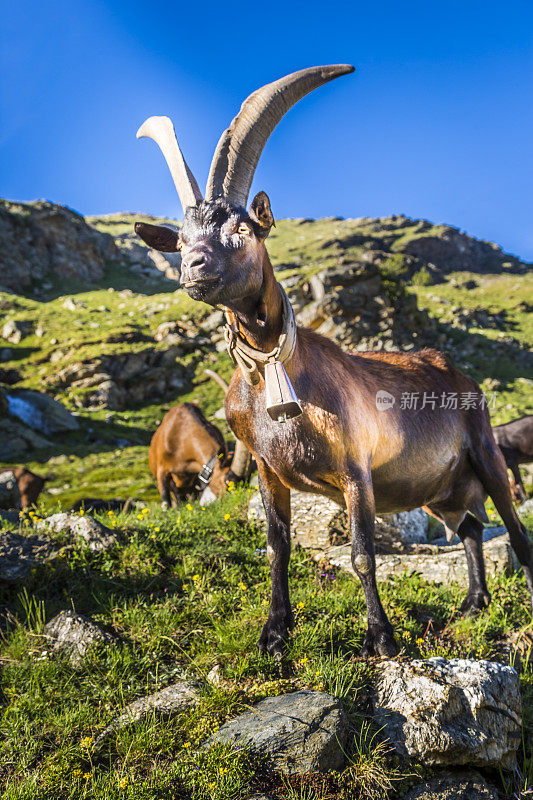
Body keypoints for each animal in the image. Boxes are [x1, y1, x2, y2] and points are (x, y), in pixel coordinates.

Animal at [134, 65, 532, 660]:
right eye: (180, 239)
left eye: (242, 229)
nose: (193, 268)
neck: (277, 378)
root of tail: (454, 371)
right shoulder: (269, 473)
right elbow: (277, 548)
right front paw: (274, 634)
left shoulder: (356, 473)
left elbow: (363, 554)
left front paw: (381, 638)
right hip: (438, 487)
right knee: (469, 529)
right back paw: (474, 602)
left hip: (486, 453)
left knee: (513, 527)